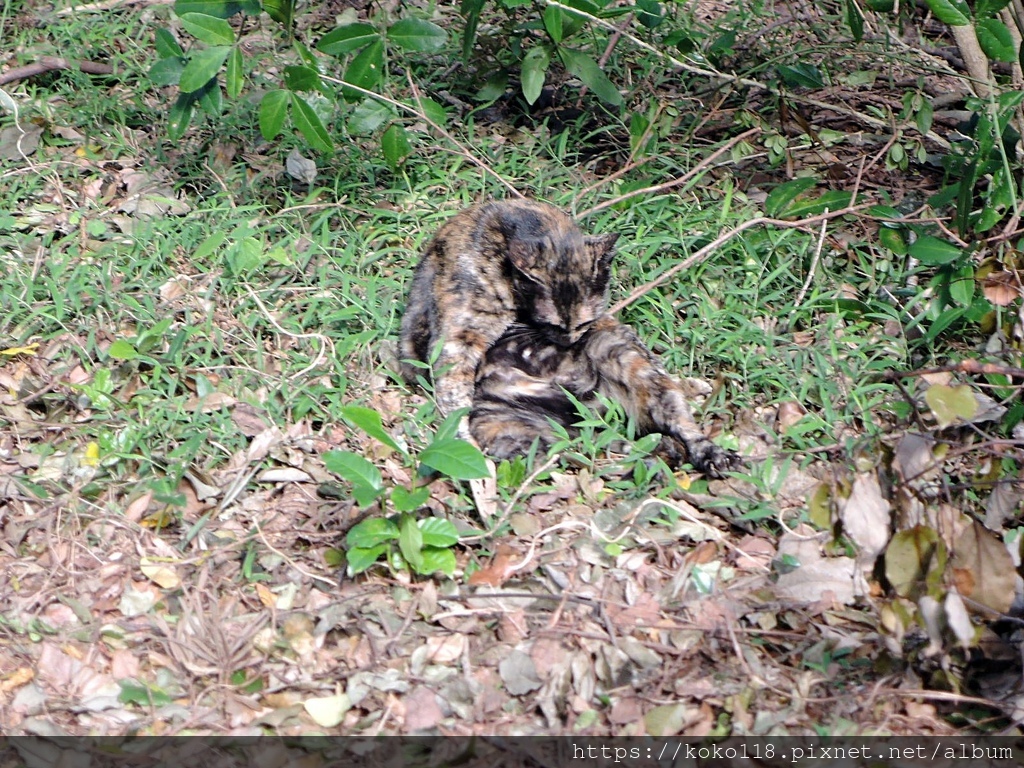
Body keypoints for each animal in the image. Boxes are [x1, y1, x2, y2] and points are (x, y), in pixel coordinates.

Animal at [395, 198, 741, 475]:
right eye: (554, 324)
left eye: (582, 322)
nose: (569, 343)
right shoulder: (457, 341)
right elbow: (452, 400)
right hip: (524, 436)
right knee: (596, 453)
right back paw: (657, 457)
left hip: (624, 355)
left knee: (673, 422)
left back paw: (708, 453)